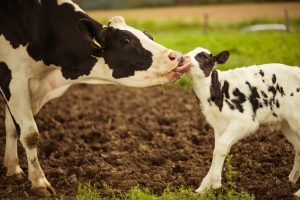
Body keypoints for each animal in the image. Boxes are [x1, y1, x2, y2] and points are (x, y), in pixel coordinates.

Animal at [0, 0, 191, 197]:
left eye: (149, 36)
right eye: (125, 41)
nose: (177, 56)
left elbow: (12, 127)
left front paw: (13, 169)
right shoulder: (14, 78)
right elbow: (30, 134)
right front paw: (39, 182)